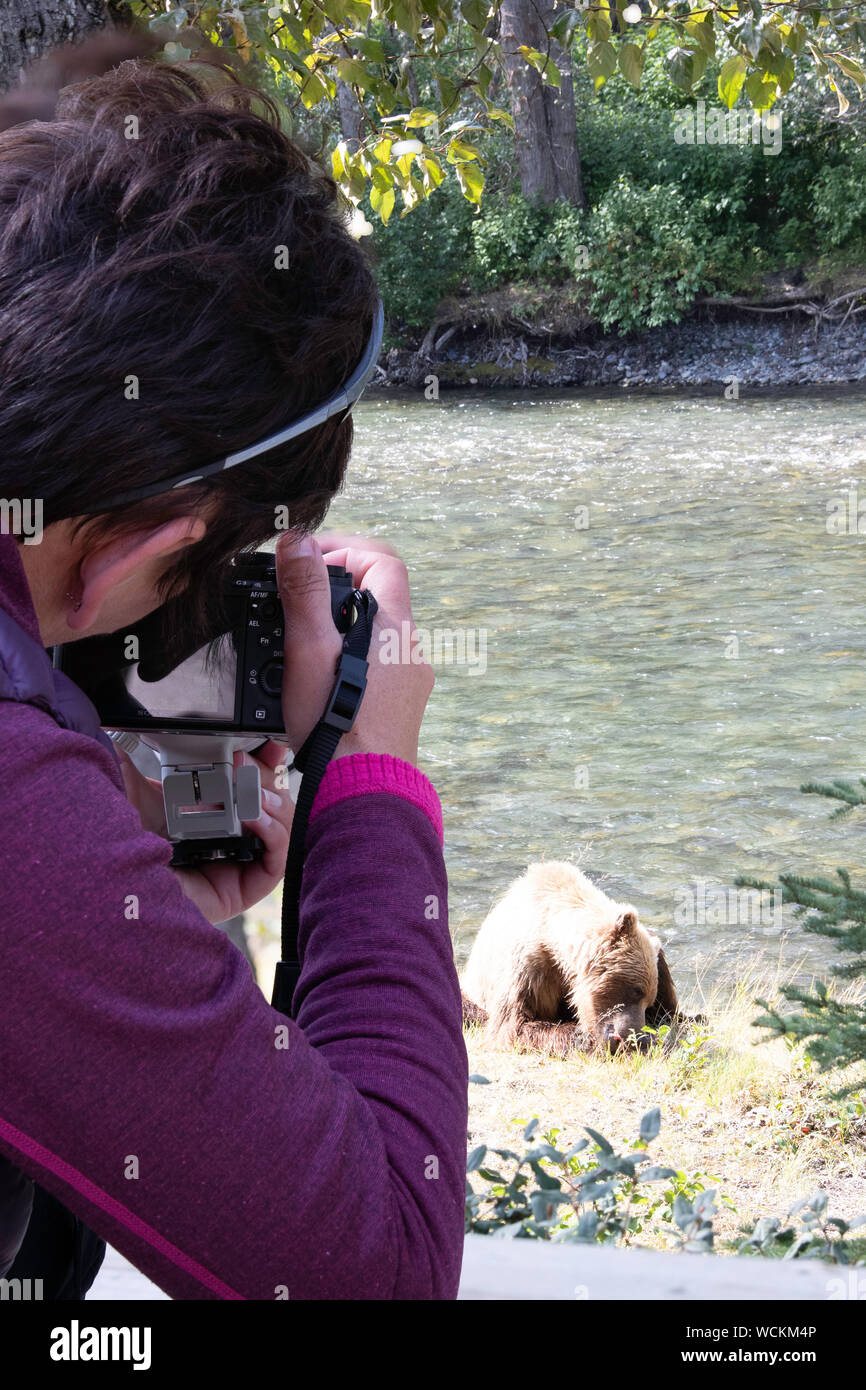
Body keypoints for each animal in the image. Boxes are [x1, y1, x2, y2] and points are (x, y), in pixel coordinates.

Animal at [460, 861, 679, 1057]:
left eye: (649, 1000)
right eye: (636, 990)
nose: (637, 1038)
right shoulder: (527, 970)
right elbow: (514, 1025)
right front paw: (589, 1041)